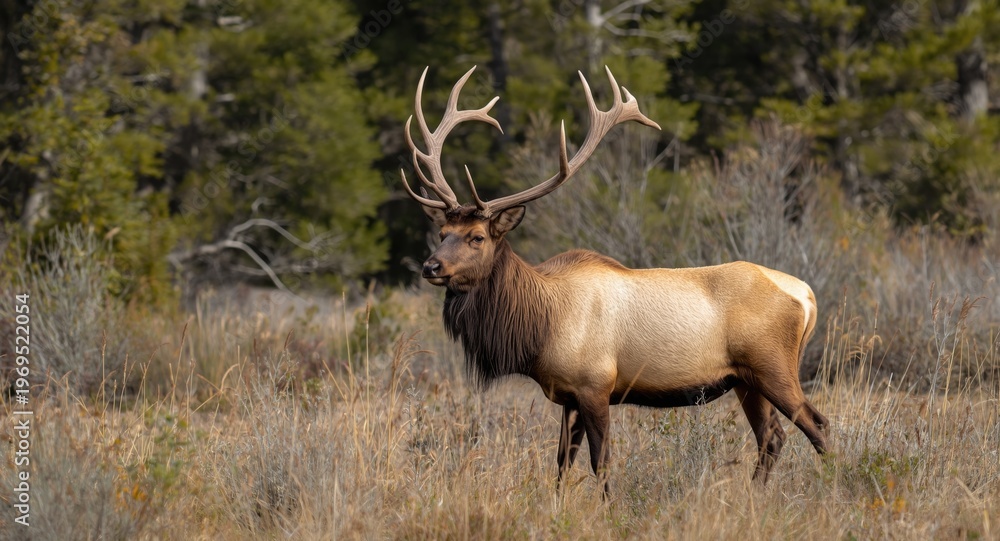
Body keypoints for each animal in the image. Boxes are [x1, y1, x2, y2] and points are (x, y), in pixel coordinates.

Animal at [401, 66, 829, 495]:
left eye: (477, 237)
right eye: (442, 233)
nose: (431, 267)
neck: (540, 327)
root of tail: (807, 296)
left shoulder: (596, 385)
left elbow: (601, 463)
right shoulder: (568, 397)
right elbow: (561, 464)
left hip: (772, 366)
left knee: (817, 424)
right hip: (745, 380)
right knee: (772, 436)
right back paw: (753, 495)